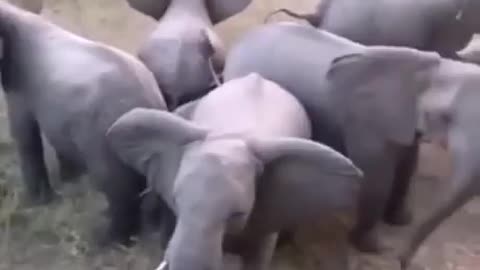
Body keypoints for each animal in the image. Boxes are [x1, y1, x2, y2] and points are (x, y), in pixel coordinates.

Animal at [0, 0, 167, 245]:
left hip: (103, 135)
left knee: (117, 188)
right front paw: (69, 180)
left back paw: (109, 242)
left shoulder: (17, 78)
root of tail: (151, 100)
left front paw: (38, 202)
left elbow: (25, 135)